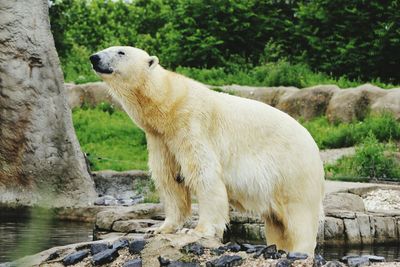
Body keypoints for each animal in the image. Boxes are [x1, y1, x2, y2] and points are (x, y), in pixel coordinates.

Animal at [90, 46, 324, 255]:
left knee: (299, 218)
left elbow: (204, 174)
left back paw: (299, 250)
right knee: (276, 224)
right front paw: (159, 228)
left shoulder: (192, 125)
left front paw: (196, 230)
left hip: (293, 172)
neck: (170, 104)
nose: (94, 57)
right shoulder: (160, 139)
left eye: (121, 51)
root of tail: (314, 146)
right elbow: (169, 179)